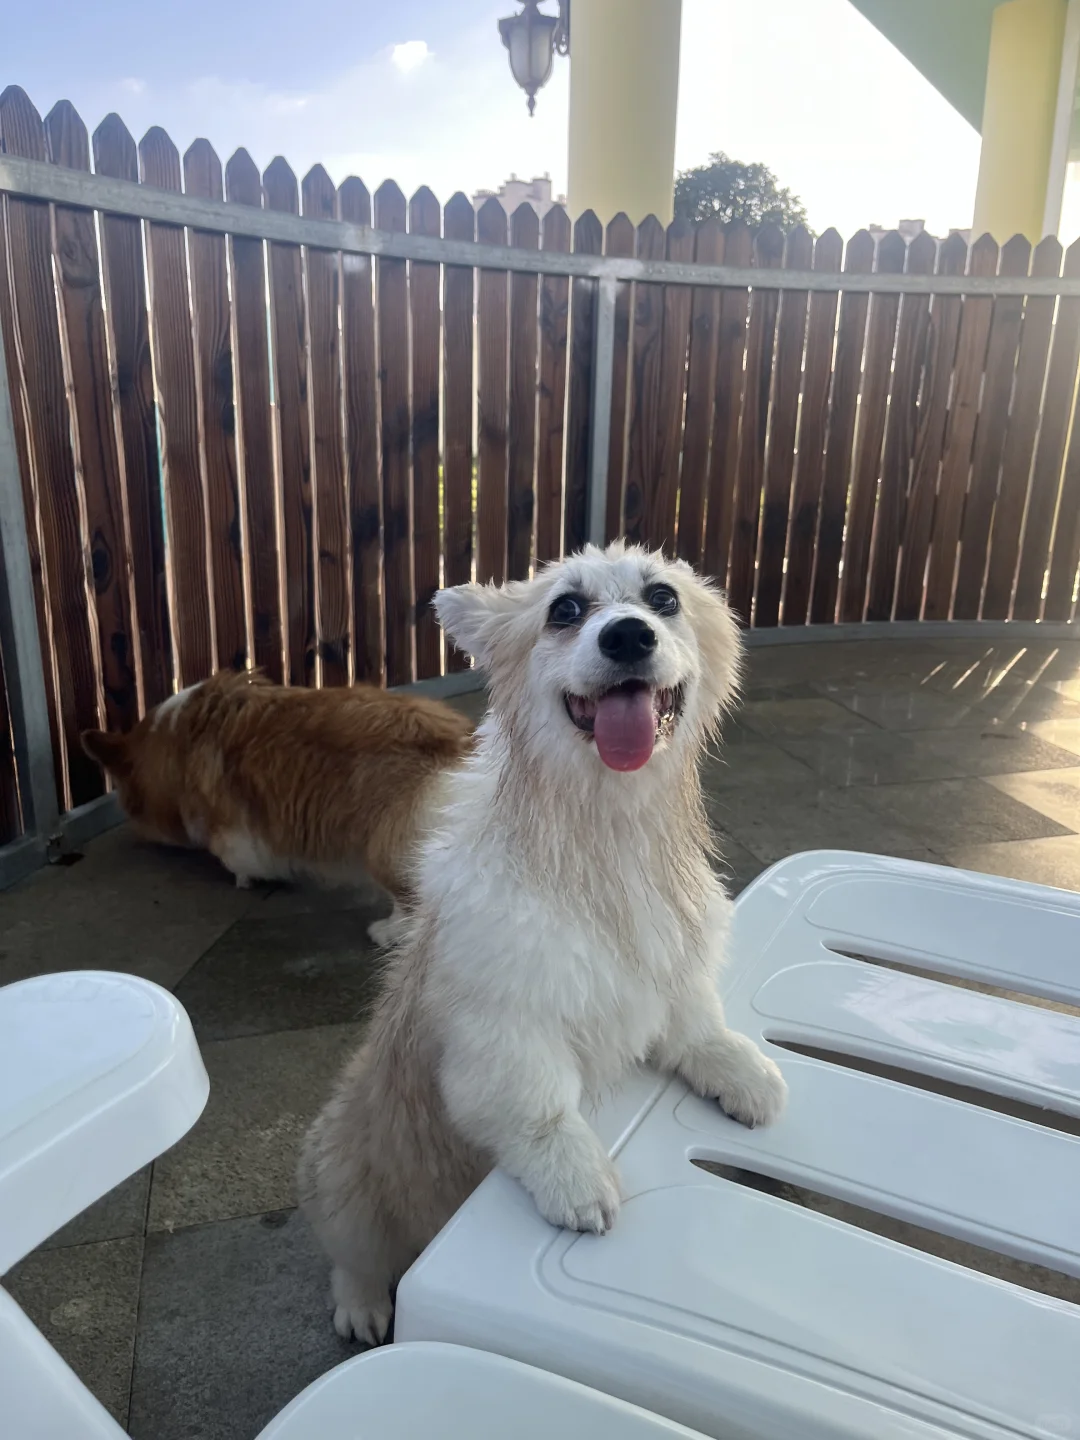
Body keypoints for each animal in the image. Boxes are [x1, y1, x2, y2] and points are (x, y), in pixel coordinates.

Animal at [81, 671, 474, 941]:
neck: (174, 740)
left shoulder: (232, 828)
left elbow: (241, 858)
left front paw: (246, 879)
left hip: (386, 852)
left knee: (411, 903)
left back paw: (387, 932)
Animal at [299, 542, 787, 1344]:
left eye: (663, 598)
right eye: (565, 608)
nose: (628, 636)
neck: (605, 837)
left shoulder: (672, 972)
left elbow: (698, 1026)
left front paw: (740, 1070)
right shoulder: (502, 1031)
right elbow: (541, 1114)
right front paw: (578, 1180)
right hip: (342, 1171)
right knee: (355, 1251)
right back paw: (361, 1306)